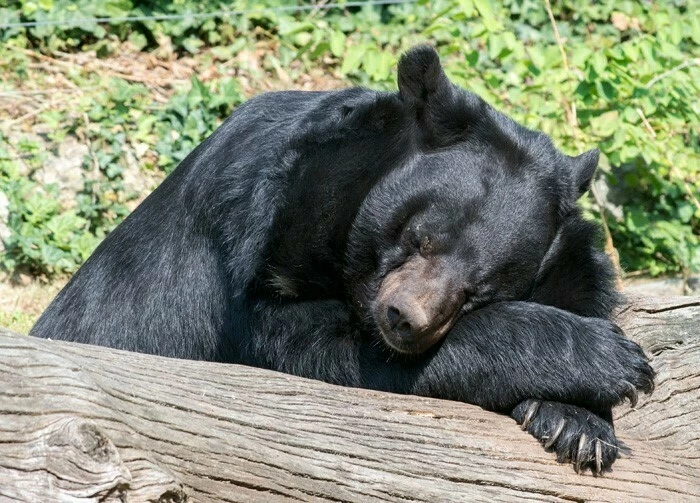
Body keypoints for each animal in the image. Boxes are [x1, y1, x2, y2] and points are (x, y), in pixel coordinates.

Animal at [31, 45, 656, 474]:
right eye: (419, 237)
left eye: (481, 288)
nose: (404, 320)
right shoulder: (254, 246)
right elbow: (312, 343)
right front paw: (612, 361)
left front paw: (578, 424)